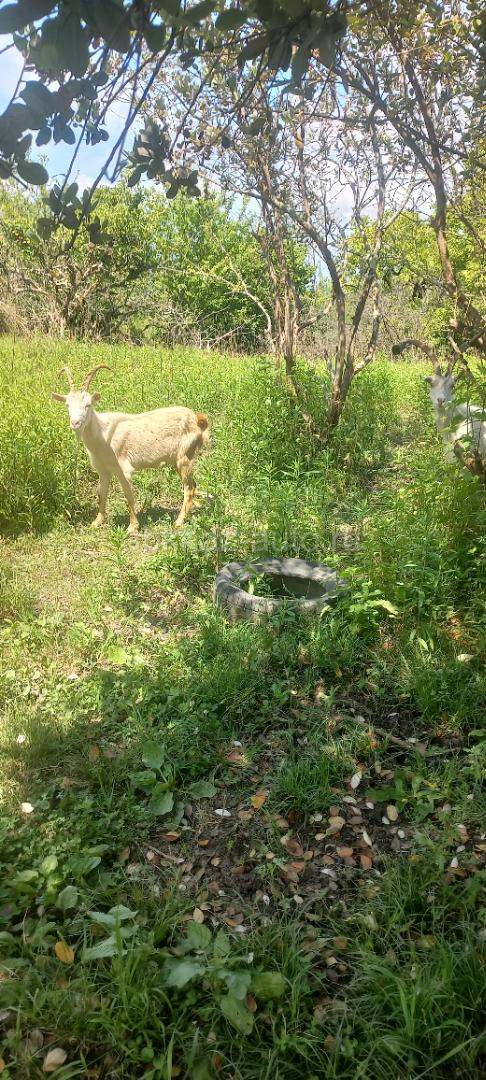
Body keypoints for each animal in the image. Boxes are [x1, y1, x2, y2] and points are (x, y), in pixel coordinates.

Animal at [52, 365, 210, 532]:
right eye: (67, 405)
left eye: (88, 405)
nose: (75, 423)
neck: (103, 434)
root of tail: (196, 419)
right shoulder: (103, 469)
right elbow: (101, 494)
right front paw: (97, 522)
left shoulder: (124, 469)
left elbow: (128, 497)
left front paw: (132, 527)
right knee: (193, 485)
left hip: (185, 456)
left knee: (189, 488)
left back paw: (179, 522)